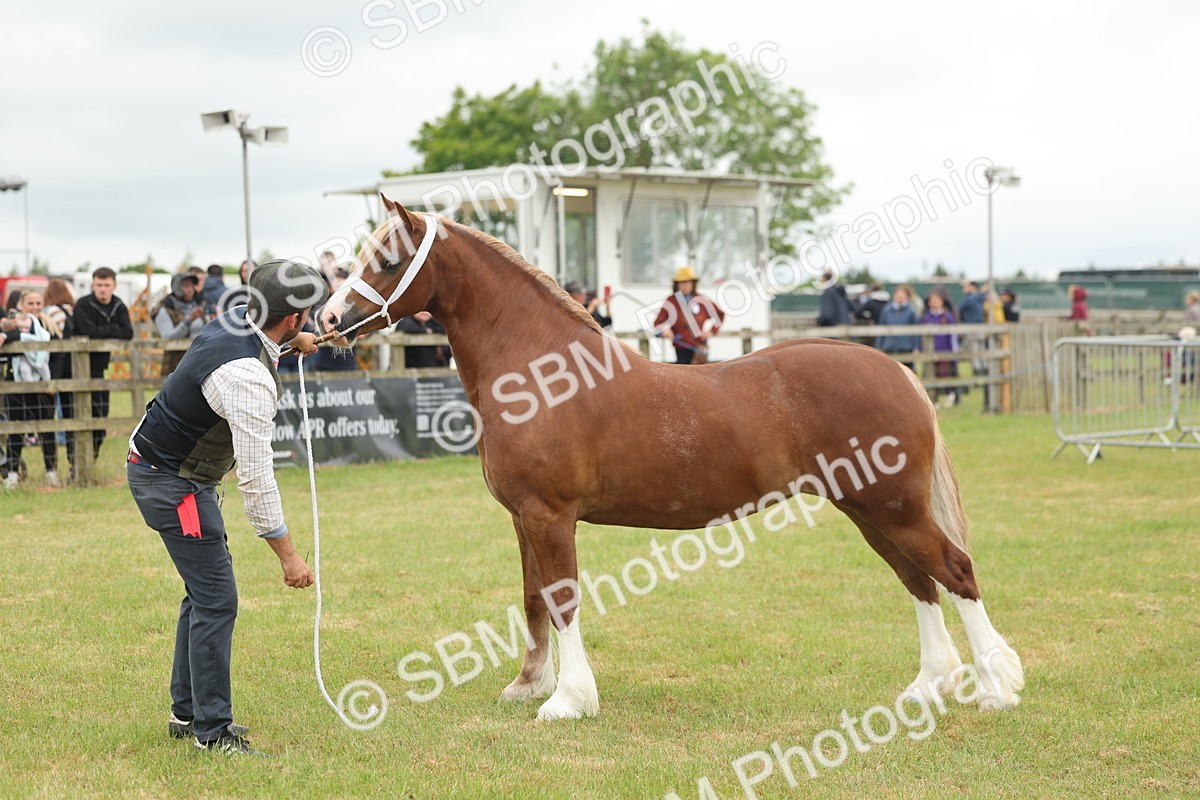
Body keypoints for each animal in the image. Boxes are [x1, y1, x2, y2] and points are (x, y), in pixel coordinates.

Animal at [319, 197, 1024, 721]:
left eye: (387, 258)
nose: (326, 319)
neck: (541, 372)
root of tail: (898, 371)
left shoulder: (550, 515)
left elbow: (564, 598)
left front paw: (568, 701)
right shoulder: (523, 517)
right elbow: (533, 598)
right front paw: (527, 686)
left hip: (894, 507)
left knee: (955, 572)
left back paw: (996, 688)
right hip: (871, 512)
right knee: (920, 583)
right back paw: (927, 687)